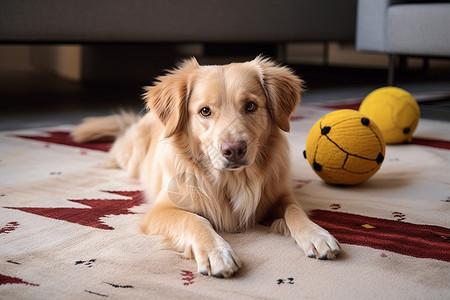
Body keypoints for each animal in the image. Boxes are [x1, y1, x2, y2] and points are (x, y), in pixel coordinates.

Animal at [73, 56, 342, 278]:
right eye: (205, 111)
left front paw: (317, 234)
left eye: (250, 106)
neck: (233, 179)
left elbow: (295, 210)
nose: (234, 149)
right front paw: (217, 252)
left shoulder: (280, 194)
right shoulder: (161, 209)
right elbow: (195, 220)